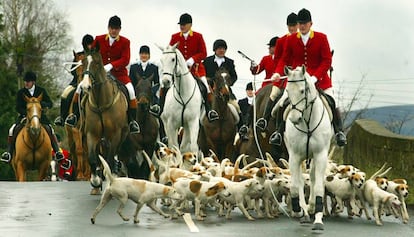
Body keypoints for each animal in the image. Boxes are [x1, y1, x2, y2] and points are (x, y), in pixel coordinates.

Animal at [79, 44, 128, 194]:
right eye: (83, 62)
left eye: (96, 63)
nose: (85, 86)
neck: (101, 103)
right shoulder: (91, 134)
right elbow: (92, 158)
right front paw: (95, 181)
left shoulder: (115, 134)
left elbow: (110, 160)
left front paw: (109, 180)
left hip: (122, 135)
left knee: (113, 156)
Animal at [282, 65, 334, 231]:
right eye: (287, 91)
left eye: (302, 91)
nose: (294, 119)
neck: (307, 121)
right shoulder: (294, 156)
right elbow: (294, 185)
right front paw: (299, 210)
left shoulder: (321, 155)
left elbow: (318, 186)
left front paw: (318, 219)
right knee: (300, 179)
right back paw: (304, 212)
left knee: (312, 177)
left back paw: (311, 207)